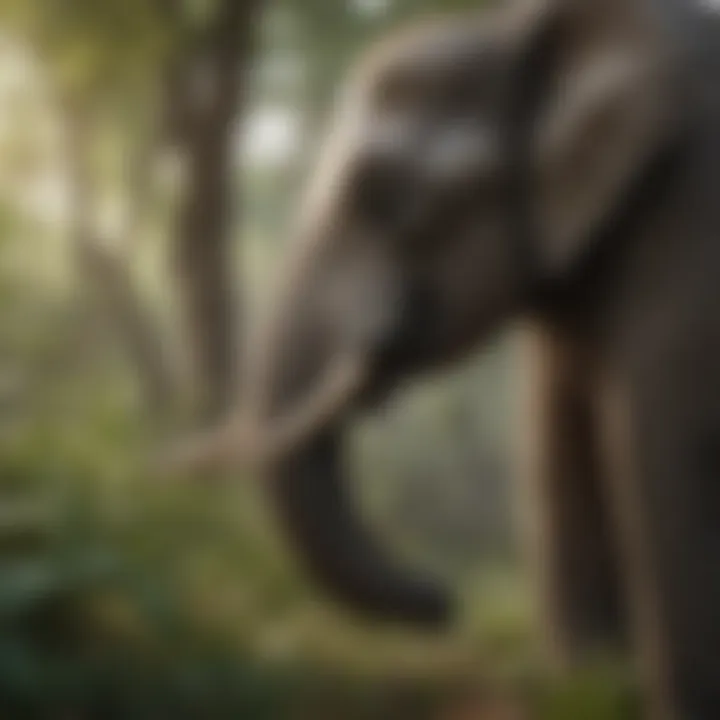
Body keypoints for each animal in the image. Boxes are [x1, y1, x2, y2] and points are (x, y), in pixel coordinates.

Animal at [172, 0, 720, 716]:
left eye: (381, 194)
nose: (444, 601)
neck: (511, 28)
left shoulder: (687, 238)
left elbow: (656, 465)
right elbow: (560, 457)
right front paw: (591, 689)